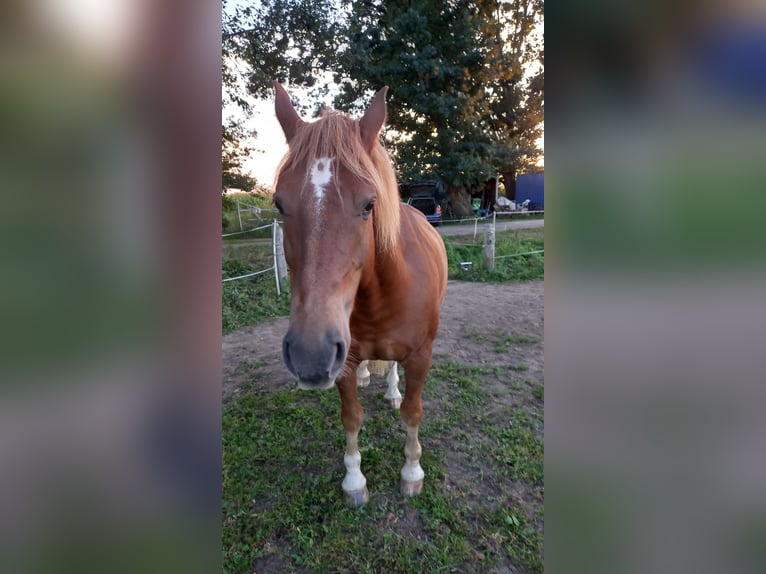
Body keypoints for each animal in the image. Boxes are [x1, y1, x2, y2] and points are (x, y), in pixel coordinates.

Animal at [273, 82, 448, 507]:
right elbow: (351, 418)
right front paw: (354, 481)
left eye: (369, 204)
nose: (310, 354)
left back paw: (392, 392)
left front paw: (412, 472)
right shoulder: (345, 360)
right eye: (278, 204)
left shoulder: (421, 356)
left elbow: (413, 413)